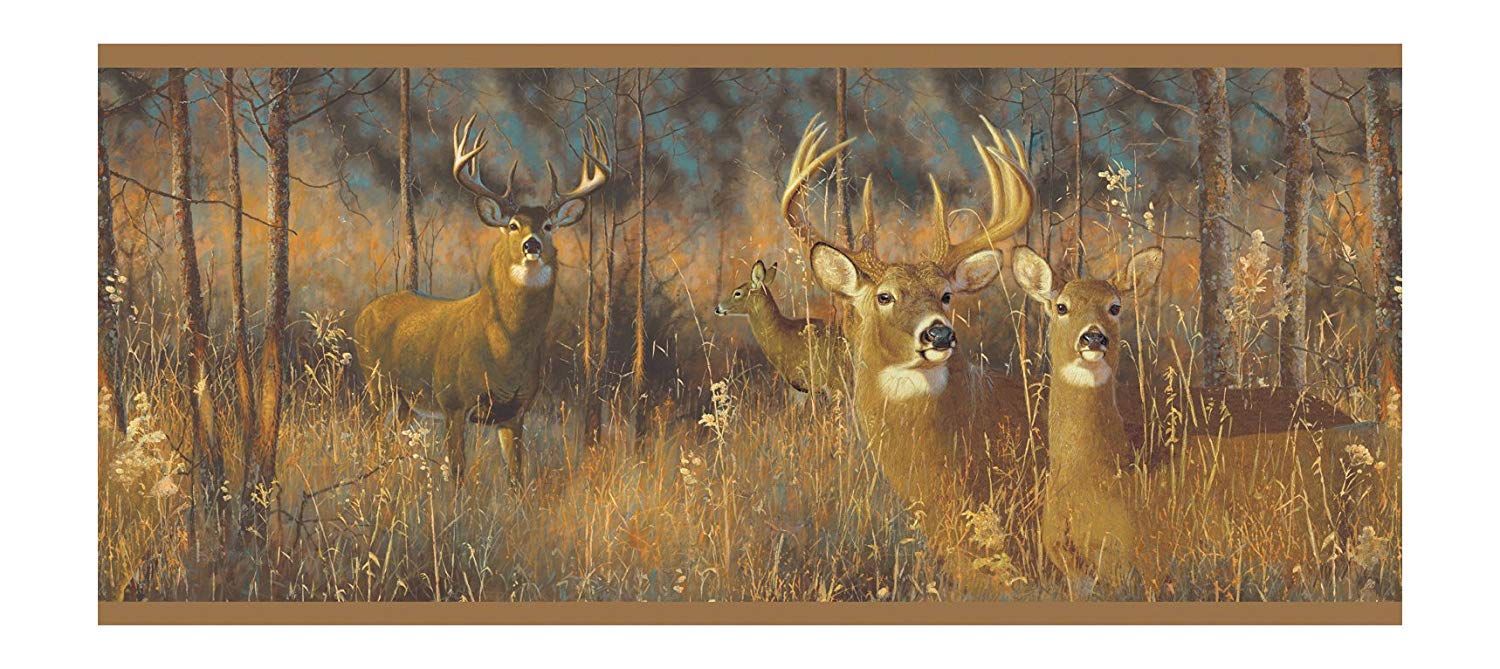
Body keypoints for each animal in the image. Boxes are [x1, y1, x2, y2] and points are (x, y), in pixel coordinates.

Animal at [355, 115, 610, 485]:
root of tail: (365, 310)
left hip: (405, 402)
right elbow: (457, 473)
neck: (503, 348)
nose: (532, 244)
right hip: (378, 384)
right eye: (513, 225)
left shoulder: (516, 411)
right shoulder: (452, 401)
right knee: (371, 438)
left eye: (548, 225)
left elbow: (517, 477)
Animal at [1011, 245, 1391, 594]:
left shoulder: (1142, 563)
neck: (1102, 470)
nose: (1093, 337)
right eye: (1061, 306)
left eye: (1114, 307)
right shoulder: (1074, 571)